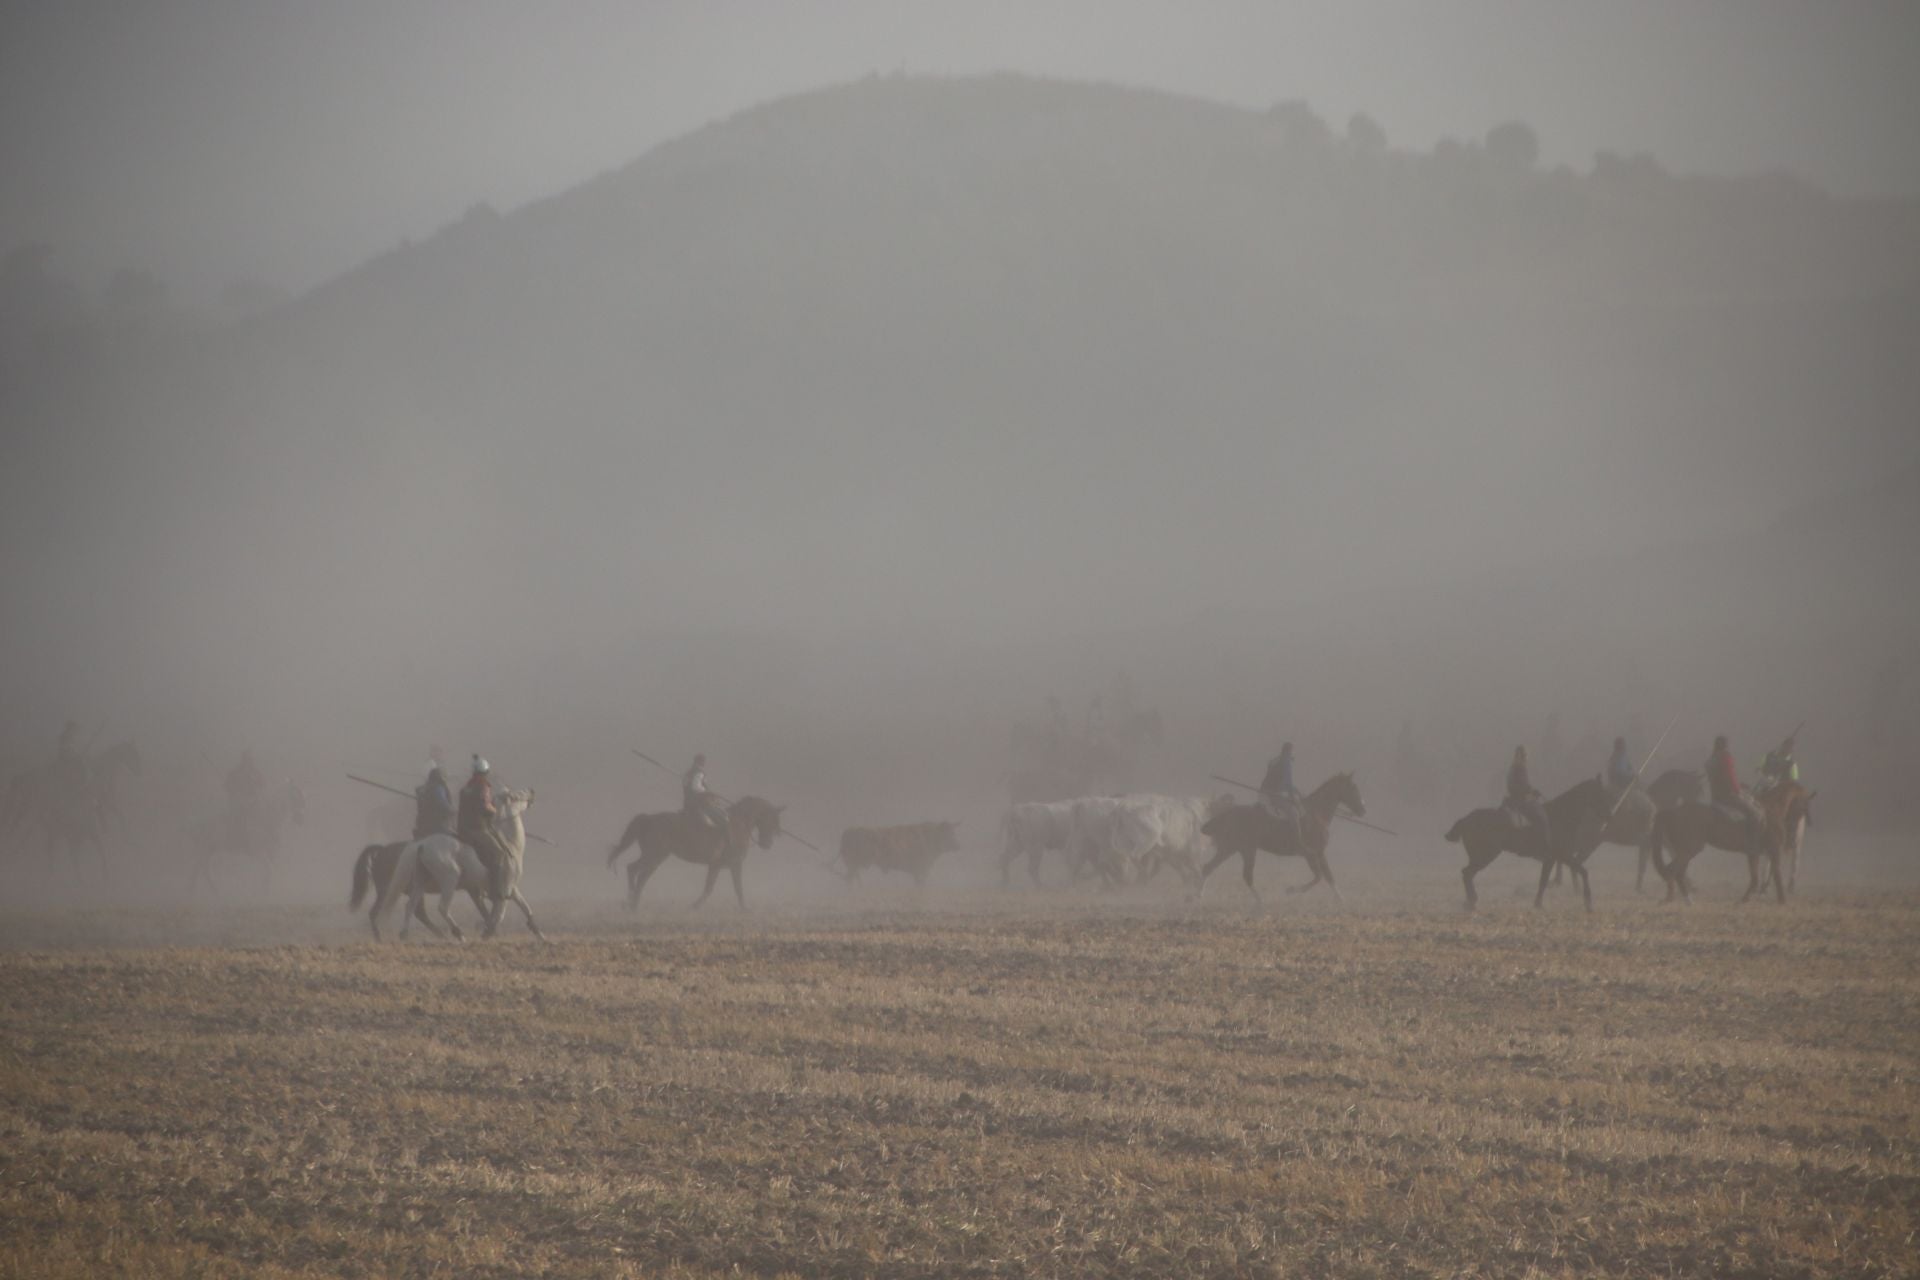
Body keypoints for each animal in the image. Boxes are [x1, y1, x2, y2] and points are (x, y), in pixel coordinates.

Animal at [372, 786, 549, 948]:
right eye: (516, 796)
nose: (532, 792)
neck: (510, 844)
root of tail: (422, 844)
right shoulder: (504, 891)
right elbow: (499, 915)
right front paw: (487, 933)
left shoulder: (512, 889)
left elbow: (526, 909)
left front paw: (541, 936)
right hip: (450, 879)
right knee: (442, 908)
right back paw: (459, 934)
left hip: (420, 881)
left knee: (411, 906)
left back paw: (404, 934)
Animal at [599, 794, 779, 917]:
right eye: (772, 821)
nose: (767, 844)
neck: (738, 824)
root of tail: (648, 819)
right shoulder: (731, 864)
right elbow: (726, 887)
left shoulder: (719, 865)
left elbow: (721, 887)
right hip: (655, 856)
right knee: (637, 873)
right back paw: (632, 903)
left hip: (654, 857)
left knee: (636, 872)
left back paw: (631, 903)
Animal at [1198, 771, 1367, 901]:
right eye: (1353, 788)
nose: (1363, 810)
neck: (1315, 814)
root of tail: (1228, 813)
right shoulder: (1310, 854)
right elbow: (1318, 877)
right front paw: (1291, 890)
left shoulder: (1320, 853)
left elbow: (1329, 877)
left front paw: (1342, 901)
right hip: (1246, 849)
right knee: (1245, 875)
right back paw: (1261, 904)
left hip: (1231, 848)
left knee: (1208, 868)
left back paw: (1197, 899)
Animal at [1443, 782, 1620, 909]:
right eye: (1600, 794)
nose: (1610, 816)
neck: (1561, 815)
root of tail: (1466, 819)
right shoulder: (1562, 855)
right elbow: (1583, 871)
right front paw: (1588, 902)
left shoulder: (1552, 858)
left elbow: (1543, 880)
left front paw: (1538, 904)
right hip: (1485, 856)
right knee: (1467, 873)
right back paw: (1472, 901)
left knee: (1467, 874)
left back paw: (1470, 901)